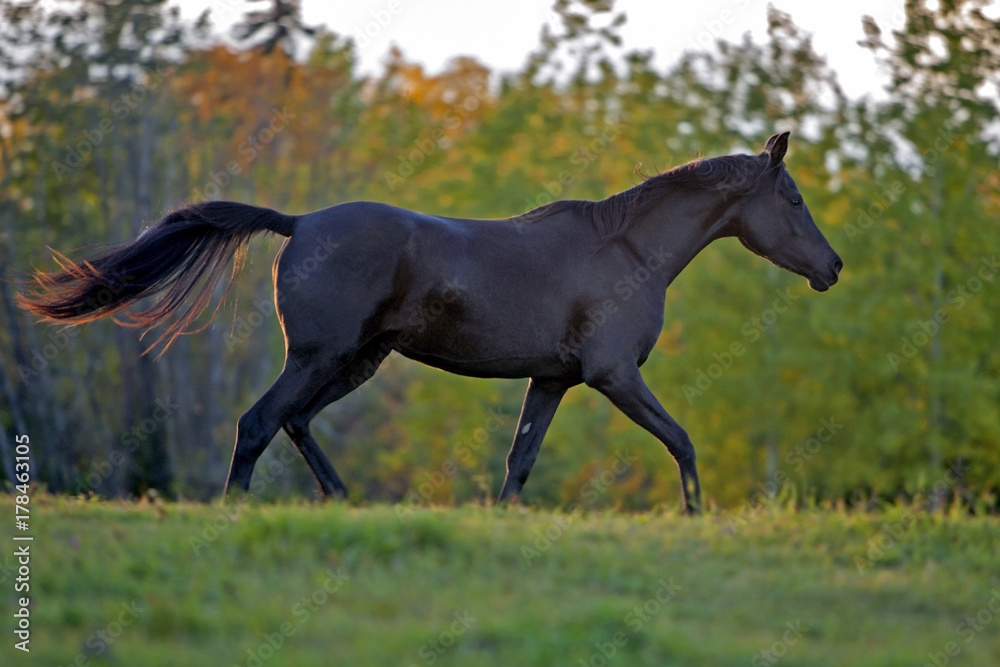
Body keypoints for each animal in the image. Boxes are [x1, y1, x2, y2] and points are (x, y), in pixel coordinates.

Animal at [18, 131, 841, 513]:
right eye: (794, 198)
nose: (832, 267)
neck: (630, 249)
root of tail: (300, 222)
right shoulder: (614, 376)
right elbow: (682, 440)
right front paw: (696, 515)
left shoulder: (554, 380)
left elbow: (519, 462)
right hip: (319, 357)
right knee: (258, 423)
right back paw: (240, 510)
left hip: (356, 360)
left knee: (292, 423)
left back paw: (344, 499)